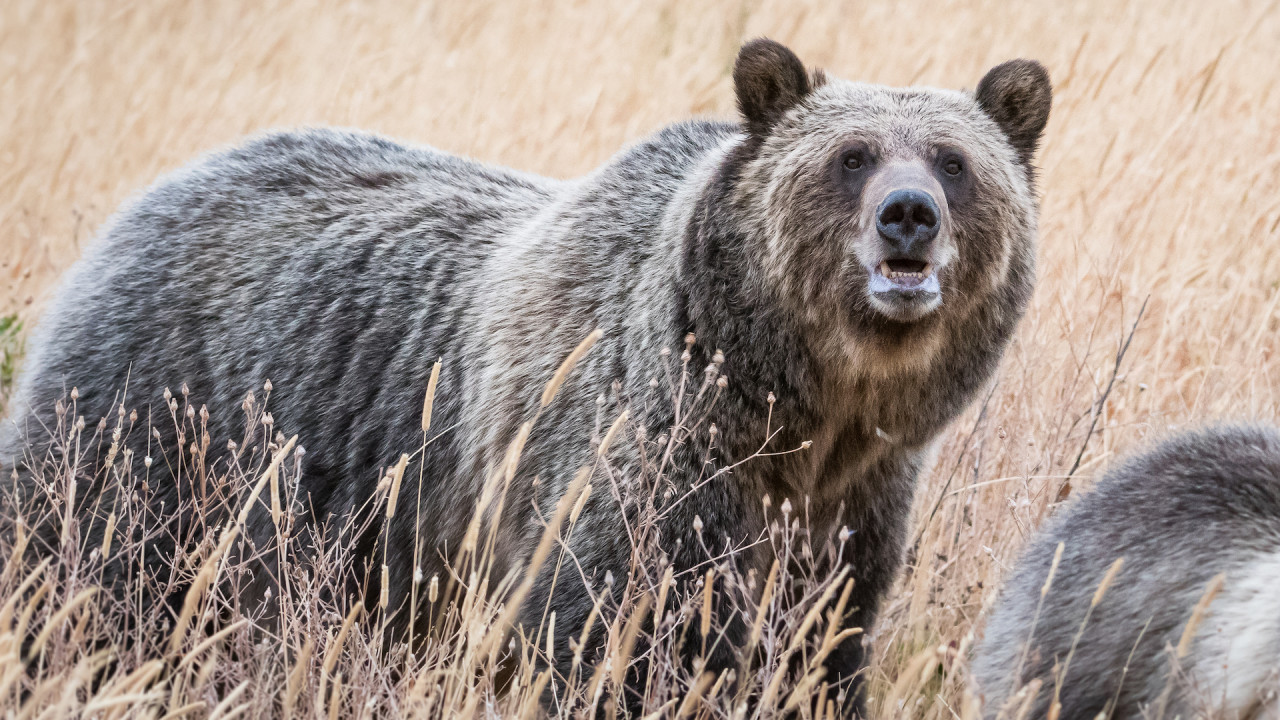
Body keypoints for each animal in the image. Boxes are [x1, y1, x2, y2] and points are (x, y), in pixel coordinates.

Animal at [2, 37, 1049, 707]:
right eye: (852, 155)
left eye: (954, 160)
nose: (909, 217)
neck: (801, 412)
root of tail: (156, 192)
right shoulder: (634, 469)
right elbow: (600, 641)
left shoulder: (848, 516)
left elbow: (814, 651)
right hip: (156, 436)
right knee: (78, 577)